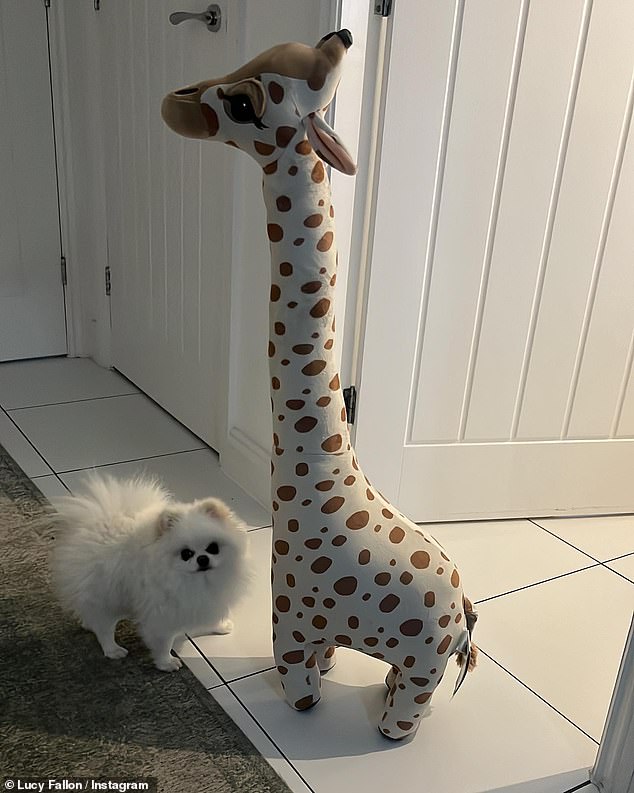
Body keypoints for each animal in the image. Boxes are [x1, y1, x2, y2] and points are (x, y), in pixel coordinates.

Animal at [49, 474, 249, 672]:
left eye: (213, 548)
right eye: (186, 554)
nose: (202, 559)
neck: (198, 581)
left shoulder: (206, 601)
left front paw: (220, 625)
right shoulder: (161, 615)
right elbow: (163, 642)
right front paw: (166, 663)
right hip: (105, 598)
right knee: (103, 627)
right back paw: (113, 649)